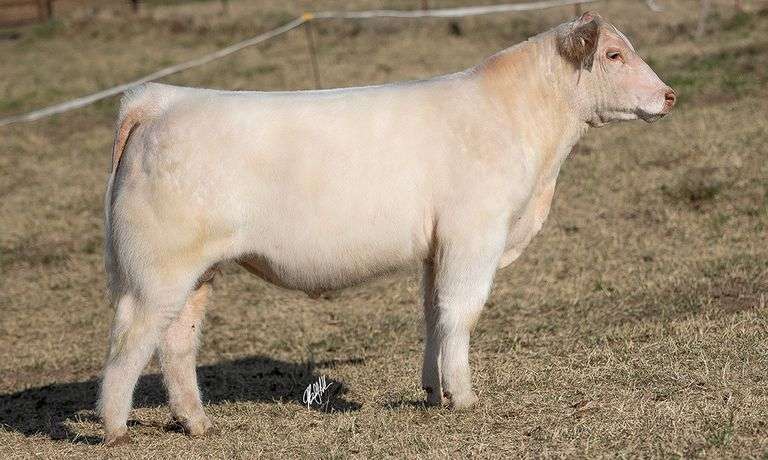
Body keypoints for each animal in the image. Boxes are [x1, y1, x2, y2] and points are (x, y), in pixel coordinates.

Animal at [99, 12, 676, 445]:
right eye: (614, 55)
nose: (669, 95)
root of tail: (161, 97)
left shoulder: (438, 248)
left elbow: (435, 315)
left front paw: (434, 391)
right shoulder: (474, 234)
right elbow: (462, 313)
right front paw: (464, 399)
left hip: (195, 272)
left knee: (177, 342)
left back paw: (196, 423)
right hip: (159, 270)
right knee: (129, 339)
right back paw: (115, 429)